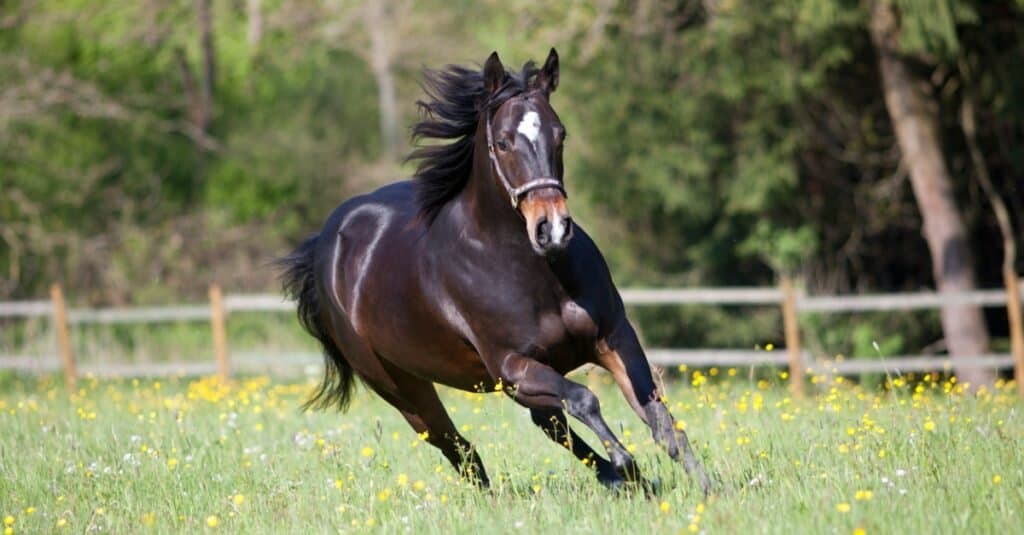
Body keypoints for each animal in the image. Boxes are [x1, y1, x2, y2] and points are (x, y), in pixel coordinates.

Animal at [280, 48, 712, 491]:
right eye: (503, 142)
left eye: (560, 134)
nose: (552, 229)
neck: (534, 273)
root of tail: (326, 243)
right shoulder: (512, 366)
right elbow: (585, 399)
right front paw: (626, 462)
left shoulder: (613, 338)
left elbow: (660, 421)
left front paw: (705, 489)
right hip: (402, 387)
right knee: (459, 447)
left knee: (544, 424)